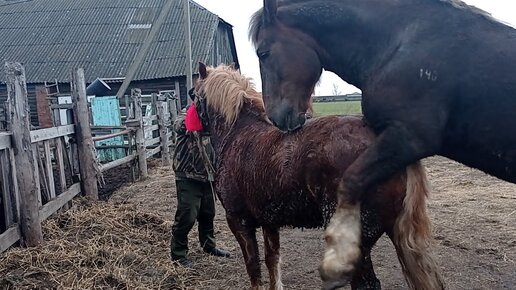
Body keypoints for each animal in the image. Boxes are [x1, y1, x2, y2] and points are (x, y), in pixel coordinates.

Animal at [191, 62, 442, 290]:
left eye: (193, 94)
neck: (238, 133)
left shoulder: (239, 222)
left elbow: (254, 270)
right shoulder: (269, 222)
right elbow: (273, 262)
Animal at [250, 0, 516, 286]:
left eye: (263, 53)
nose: (275, 117)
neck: (398, 44)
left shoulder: (407, 138)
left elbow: (350, 182)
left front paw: (338, 259)